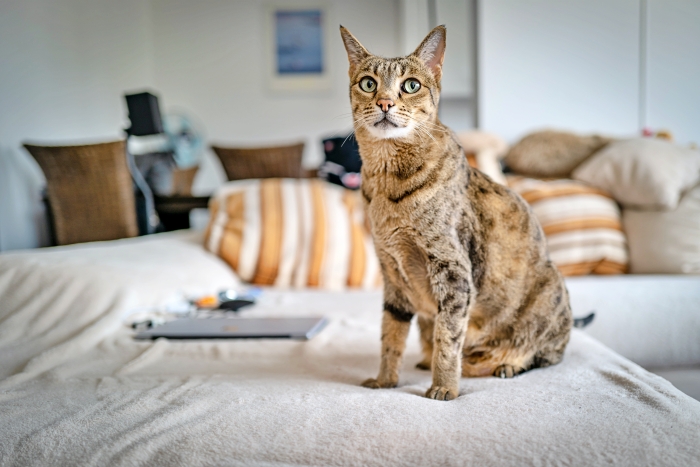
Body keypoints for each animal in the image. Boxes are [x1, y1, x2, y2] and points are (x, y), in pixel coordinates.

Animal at [340, 25, 573, 401]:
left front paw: (444, 387)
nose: (384, 103)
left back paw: (507, 364)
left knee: (545, 353)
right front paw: (385, 380)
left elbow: (447, 338)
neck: (387, 186)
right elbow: (390, 335)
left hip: (551, 293)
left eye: (411, 85)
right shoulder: (391, 274)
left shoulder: (453, 272)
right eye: (368, 83)